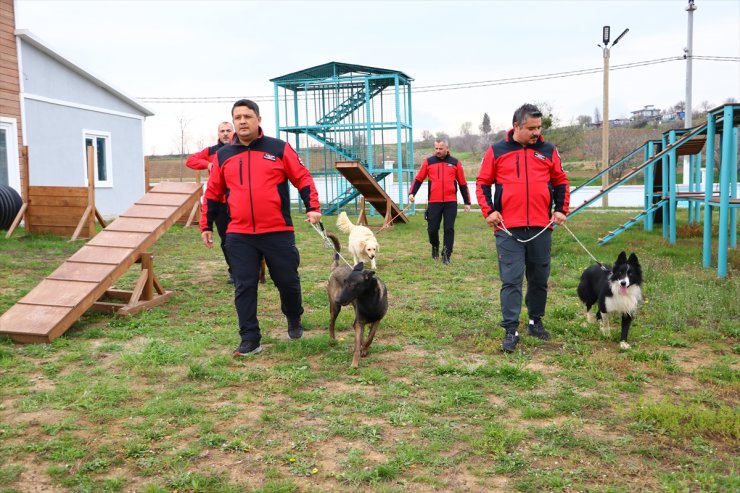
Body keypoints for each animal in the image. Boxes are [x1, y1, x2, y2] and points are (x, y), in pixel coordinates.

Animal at [326, 232, 390, 366]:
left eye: (352, 285)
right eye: (344, 282)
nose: (337, 299)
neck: (369, 300)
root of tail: (335, 268)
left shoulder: (376, 320)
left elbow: (370, 337)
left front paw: (364, 349)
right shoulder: (360, 322)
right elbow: (357, 343)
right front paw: (354, 363)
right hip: (335, 308)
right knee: (331, 322)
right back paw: (332, 339)